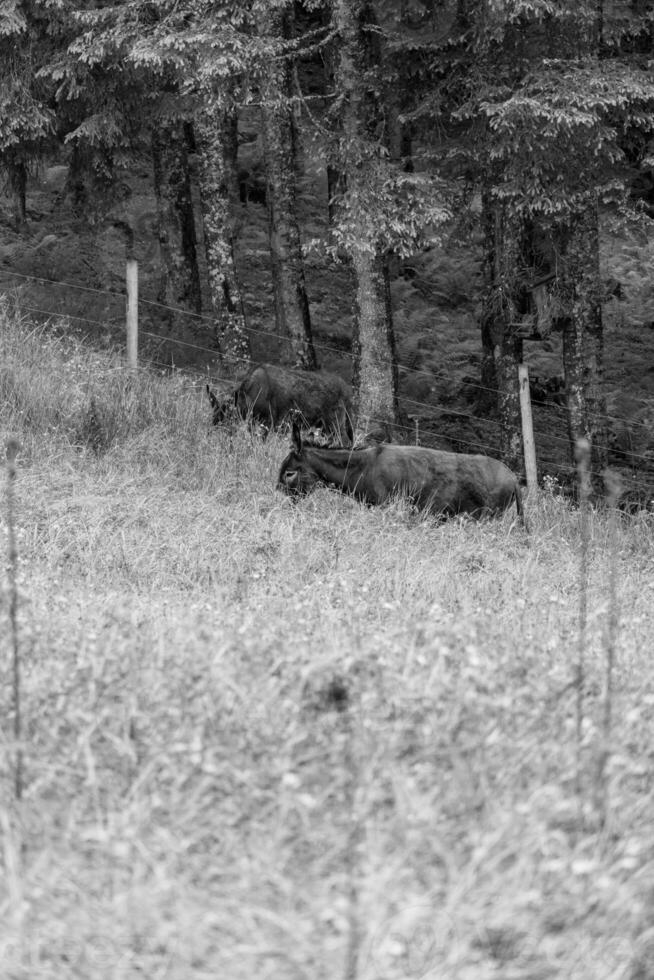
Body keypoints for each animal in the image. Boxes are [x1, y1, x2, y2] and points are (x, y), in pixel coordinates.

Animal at [276, 422, 528, 528]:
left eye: (289, 473)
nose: (279, 501)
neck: (363, 469)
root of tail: (514, 480)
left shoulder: (386, 505)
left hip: (487, 517)